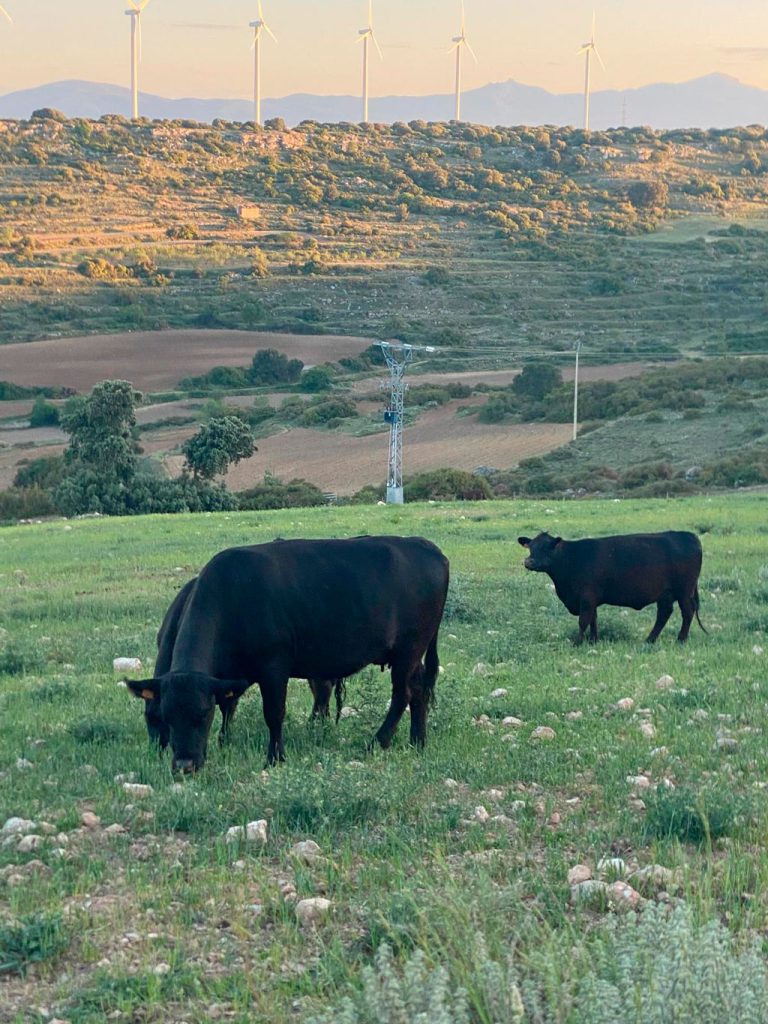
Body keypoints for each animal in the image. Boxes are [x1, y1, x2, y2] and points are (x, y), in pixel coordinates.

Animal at [126, 536, 450, 770]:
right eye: (164, 716)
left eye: (202, 714)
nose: (184, 765)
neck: (234, 595)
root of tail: (424, 546)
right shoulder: (230, 675)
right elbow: (229, 705)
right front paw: (224, 742)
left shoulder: (274, 667)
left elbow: (274, 713)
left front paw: (275, 758)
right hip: (411, 655)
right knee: (418, 690)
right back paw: (417, 741)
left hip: (408, 650)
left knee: (402, 695)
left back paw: (377, 742)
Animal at [520, 532, 708, 643]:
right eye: (531, 547)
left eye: (547, 547)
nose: (529, 562)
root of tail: (688, 535)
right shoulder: (591, 600)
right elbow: (593, 620)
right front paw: (593, 641)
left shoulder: (586, 597)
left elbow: (583, 621)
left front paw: (578, 643)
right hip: (666, 593)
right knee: (664, 614)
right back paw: (650, 640)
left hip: (684, 591)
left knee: (687, 612)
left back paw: (680, 640)